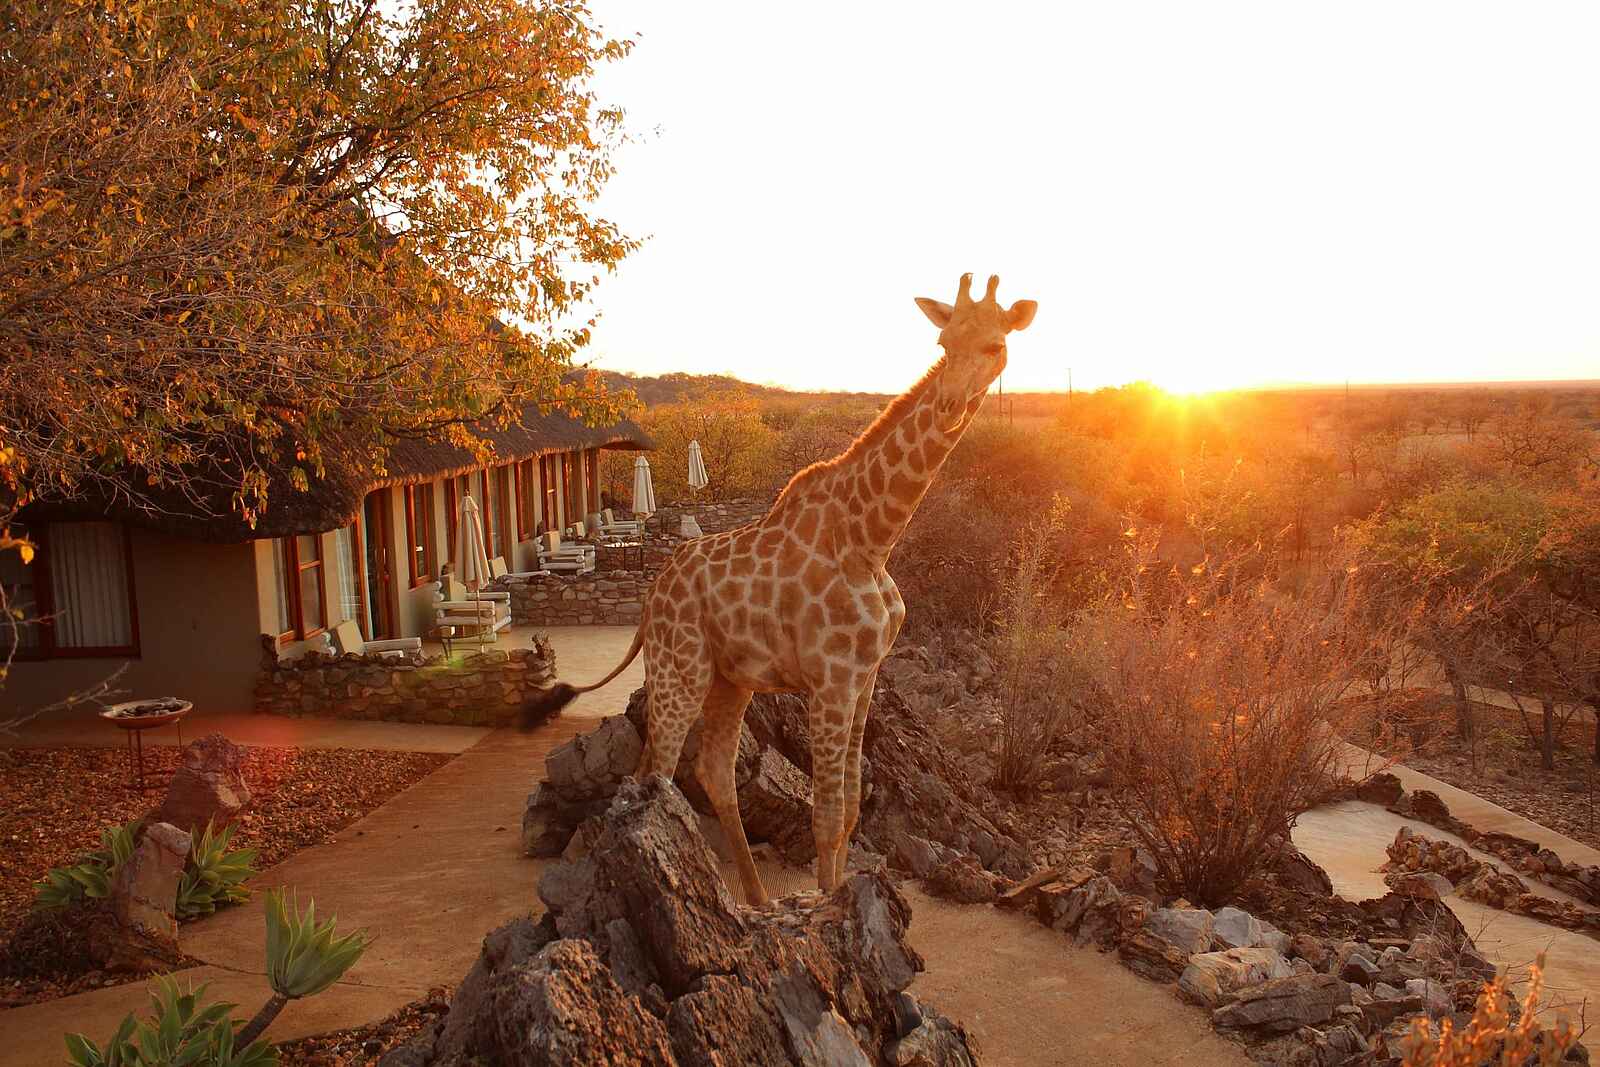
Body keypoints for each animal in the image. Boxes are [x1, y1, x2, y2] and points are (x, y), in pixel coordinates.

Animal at [527, 273, 1037, 904]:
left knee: (713, 770)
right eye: (943, 342)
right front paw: (827, 904)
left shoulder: (865, 677)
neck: (872, 539)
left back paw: (758, 900)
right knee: (656, 773)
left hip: (730, 680)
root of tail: (650, 598)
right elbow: (826, 814)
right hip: (679, 671)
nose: (947, 407)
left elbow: (850, 808)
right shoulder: (831, 679)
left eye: (995, 346)